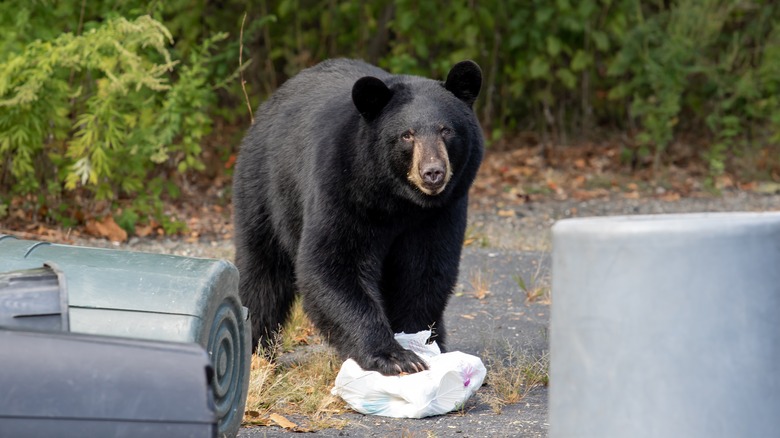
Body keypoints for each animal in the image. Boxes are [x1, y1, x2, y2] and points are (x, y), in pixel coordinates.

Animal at [233, 57, 482, 372]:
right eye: (407, 135)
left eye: (446, 130)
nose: (433, 172)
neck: (398, 200)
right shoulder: (343, 189)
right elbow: (333, 264)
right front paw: (395, 357)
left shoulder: (441, 212)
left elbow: (425, 271)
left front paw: (417, 342)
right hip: (266, 189)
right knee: (262, 273)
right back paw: (256, 351)